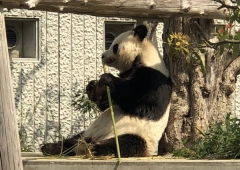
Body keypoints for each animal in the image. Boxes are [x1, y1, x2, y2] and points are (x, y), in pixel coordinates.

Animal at [41, 24, 172, 157]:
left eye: (115, 46)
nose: (102, 56)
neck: (143, 56)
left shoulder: (154, 79)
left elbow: (139, 99)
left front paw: (107, 78)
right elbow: (106, 104)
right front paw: (93, 86)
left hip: (137, 135)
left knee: (124, 143)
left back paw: (95, 148)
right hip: (86, 132)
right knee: (73, 139)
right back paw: (52, 147)